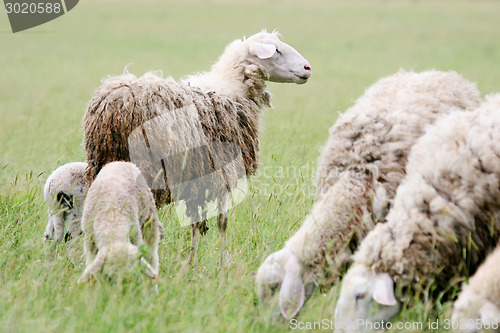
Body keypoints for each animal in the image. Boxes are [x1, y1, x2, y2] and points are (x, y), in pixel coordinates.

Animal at [84, 29, 312, 260]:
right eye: (277, 51)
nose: (307, 68)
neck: (232, 89)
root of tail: (115, 102)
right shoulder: (222, 170)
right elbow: (222, 221)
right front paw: (222, 260)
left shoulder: (195, 176)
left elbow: (196, 222)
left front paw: (192, 259)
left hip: (105, 163)